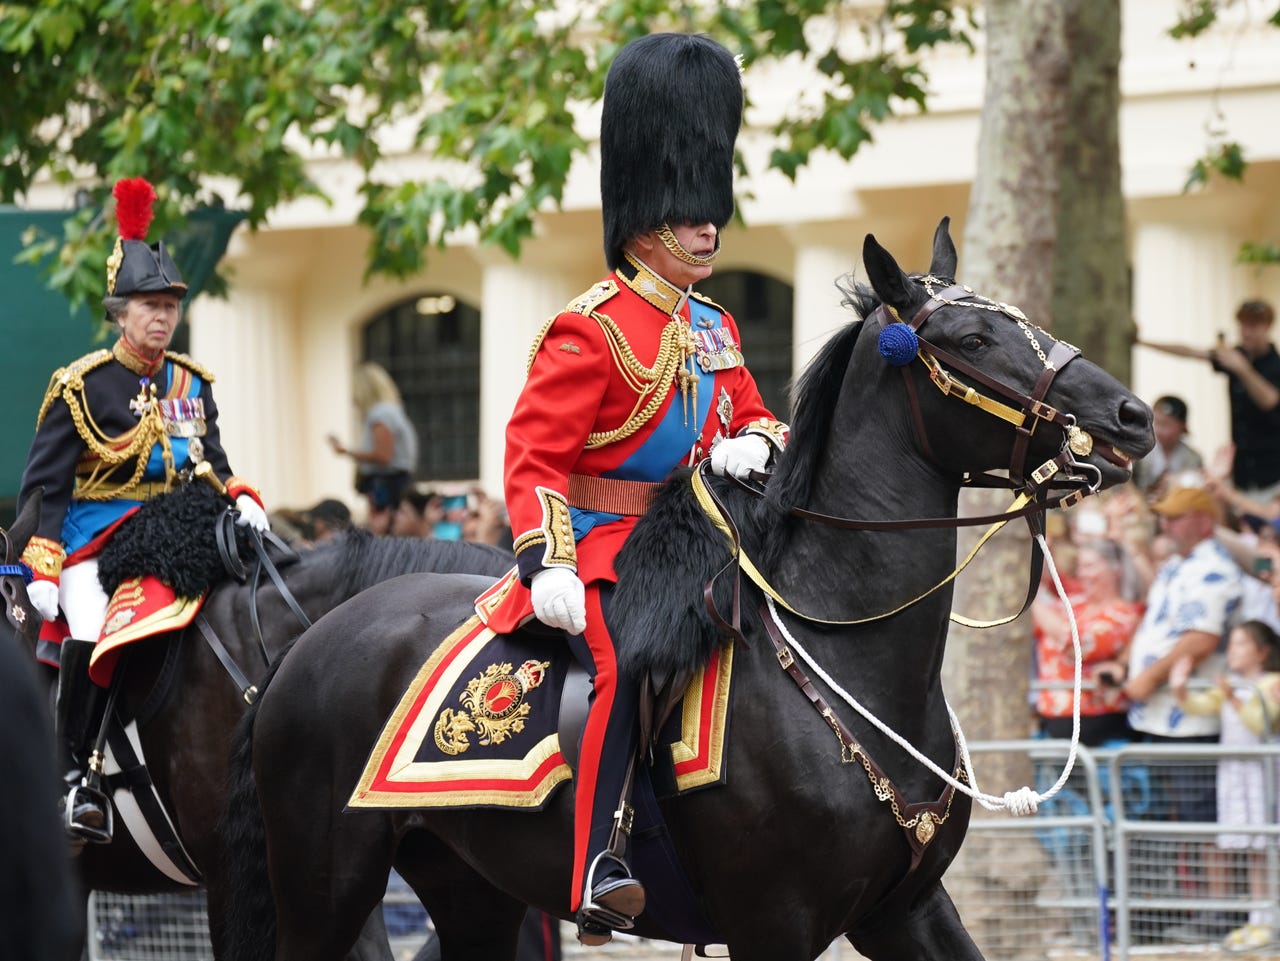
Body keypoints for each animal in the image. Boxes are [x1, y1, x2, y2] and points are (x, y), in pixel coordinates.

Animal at [215, 221, 1157, 957]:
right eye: (970, 342)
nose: (1132, 418)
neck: (847, 650)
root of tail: (305, 643)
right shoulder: (774, 924)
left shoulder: (907, 909)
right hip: (325, 886)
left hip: (470, 884)